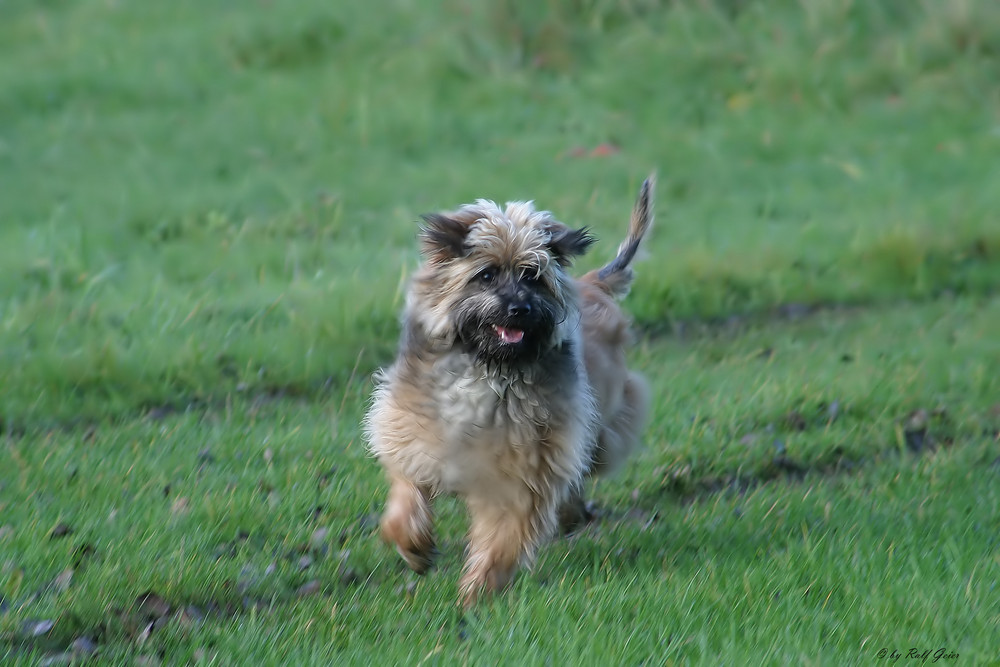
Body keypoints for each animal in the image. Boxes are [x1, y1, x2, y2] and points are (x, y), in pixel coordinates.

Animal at [364, 176, 652, 604]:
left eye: (532, 276)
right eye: (486, 274)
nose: (519, 308)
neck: (488, 368)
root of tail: (593, 283)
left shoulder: (525, 469)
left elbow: (504, 534)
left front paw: (476, 593)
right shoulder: (413, 434)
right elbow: (406, 495)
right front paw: (415, 548)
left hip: (601, 425)